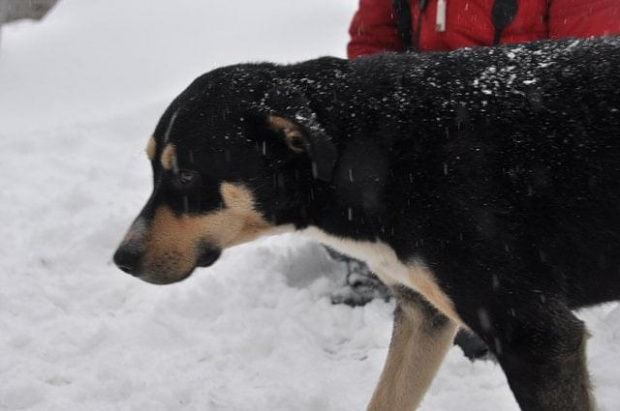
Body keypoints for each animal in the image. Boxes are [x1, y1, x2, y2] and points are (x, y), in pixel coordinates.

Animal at [115, 37, 620, 410]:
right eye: (153, 168)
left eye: (185, 174)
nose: (121, 259)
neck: (373, 153)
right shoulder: (423, 313)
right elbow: (386, 398)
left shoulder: (534, 337)